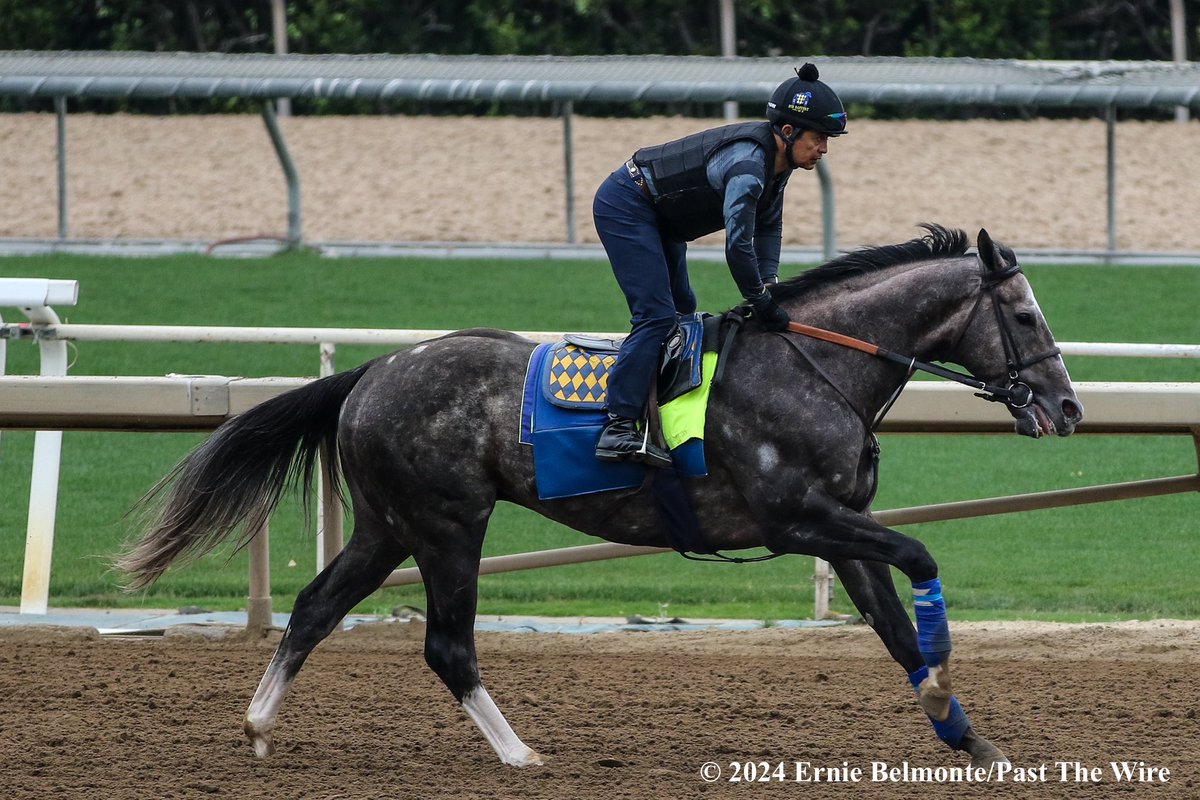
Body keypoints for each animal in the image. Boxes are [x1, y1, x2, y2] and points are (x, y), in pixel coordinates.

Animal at [121, 224, 1089, 767]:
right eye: (1027, 317)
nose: (1071, 408)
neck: (816, 366)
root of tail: (371, 371)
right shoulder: (802, 518)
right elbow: (921, 558)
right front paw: (947, 694)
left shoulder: (838, 527)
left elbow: (893, 630)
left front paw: (967, 735)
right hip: (448, 521)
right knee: (447, 645)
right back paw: (520, 756)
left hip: (388, 524)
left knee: (317, 607)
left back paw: (258, 727)